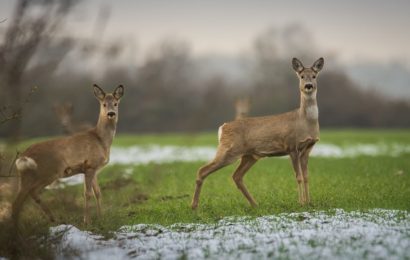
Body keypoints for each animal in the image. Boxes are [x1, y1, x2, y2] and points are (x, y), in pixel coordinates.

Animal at [13, 84, 125, 224]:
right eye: (104, 104)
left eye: (115, 103)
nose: (111, 113)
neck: (101, 140)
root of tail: (23, 156)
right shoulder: (90, 165)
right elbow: (87, 194)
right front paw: (87, 222)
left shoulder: (92, 169)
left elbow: (97, 193)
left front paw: (101, 218)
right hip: (48, 172)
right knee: (28, 195)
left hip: (26, 176)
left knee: (21, 199)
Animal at [191, 58, 324, 208]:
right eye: (301, 76)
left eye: (314, 76)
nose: (308, 86)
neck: (304, 121)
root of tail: (222, 127)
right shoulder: (291, 146)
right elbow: (299, 177)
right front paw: (301, 203)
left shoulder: (308, 147)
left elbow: (306, 177)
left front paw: (309, 202)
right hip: (229, 150)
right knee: (202, 170)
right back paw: (194, 206)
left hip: (249, 155)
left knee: (236, 176)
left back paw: (255, 204)